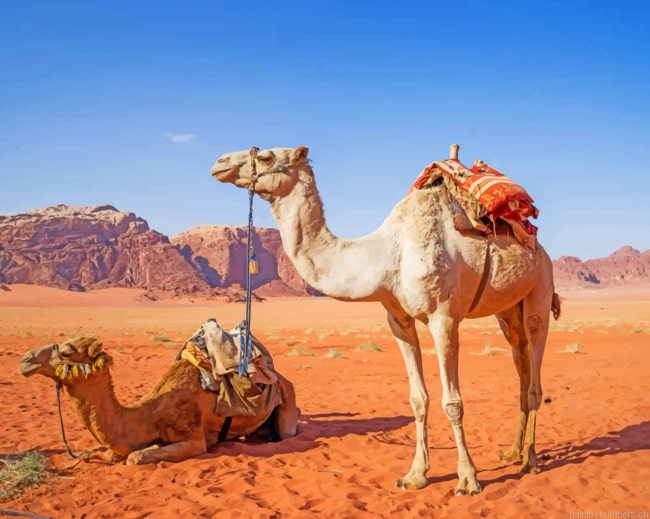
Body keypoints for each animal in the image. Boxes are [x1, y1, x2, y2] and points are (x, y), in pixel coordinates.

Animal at [18, 319, 300, 465]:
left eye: (66, 352)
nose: (26, 360)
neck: (150, 413)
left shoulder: (194, 438)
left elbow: (135, 457)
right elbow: (113, 452)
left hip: (287, 398)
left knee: (288, 429)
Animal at [211, 145, 561, 495]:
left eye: (266, 156)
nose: (219, 162)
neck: (388, 256)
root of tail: (540, 249)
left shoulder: (444, 317)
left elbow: (452, 402)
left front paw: (467, 479)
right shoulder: (398, 320)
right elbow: (418, 399)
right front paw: (416, 475)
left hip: (539, 293)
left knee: (534, 376)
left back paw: (530, 461)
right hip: (508, 311)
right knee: (520, 367)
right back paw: (512, 453)